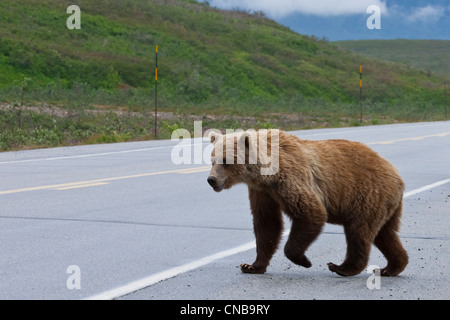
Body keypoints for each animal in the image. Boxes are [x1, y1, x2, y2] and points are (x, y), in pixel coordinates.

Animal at [207, 129, 408, 276]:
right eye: (212, 159)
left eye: (225, 160)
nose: (211, 180)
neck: (264, 174)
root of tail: (397, 175)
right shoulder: (263, 192)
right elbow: (267, 224)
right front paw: (251, 266)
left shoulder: (290, 178)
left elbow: (311, 212)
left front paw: (304, 260)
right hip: (386, 204)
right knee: (385, 233)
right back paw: (392, 267)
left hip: (368, 194)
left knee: (359, 232)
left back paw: (342, 267)